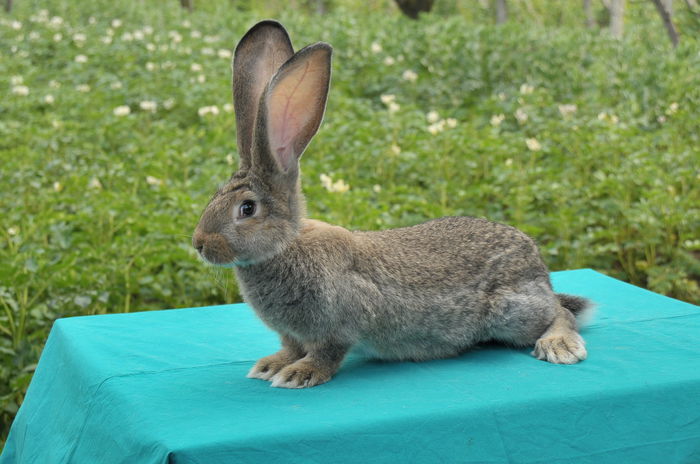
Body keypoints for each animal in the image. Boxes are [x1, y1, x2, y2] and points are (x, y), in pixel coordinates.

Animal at [191, 22, 592, 392]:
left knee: (558, 313)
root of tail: (538, 266)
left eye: (246, 209)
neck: (284, 247)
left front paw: (298, 374)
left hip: (512, 312)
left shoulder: (339, 324)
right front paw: (271, 365)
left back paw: (559, 346)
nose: (199, 243)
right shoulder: (292, 334)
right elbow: (289, 347)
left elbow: (326, 354)